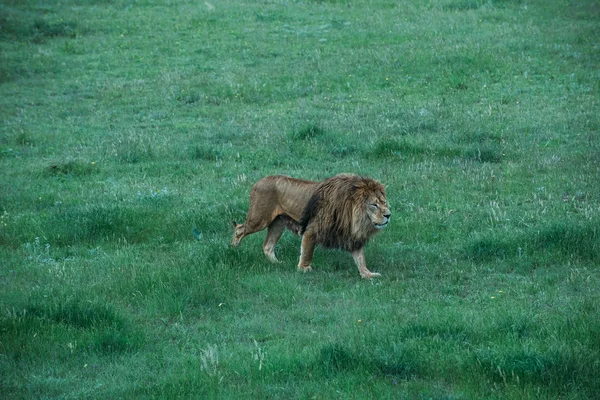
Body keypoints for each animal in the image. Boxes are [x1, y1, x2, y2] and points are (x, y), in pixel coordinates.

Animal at [232, 173, 392, 280]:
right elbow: (307, 252)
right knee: (240, 229)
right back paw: (233, 247)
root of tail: (259, 181)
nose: (388, 215)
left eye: (384, 202)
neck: (354, 217)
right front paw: (303, 269)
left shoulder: (351, 236)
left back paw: (278, 264)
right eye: (374, 205)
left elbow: (360, 258)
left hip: (278, 223)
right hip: (259, 219)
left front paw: (367, 274)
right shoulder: (312, 230)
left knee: (267, 246)